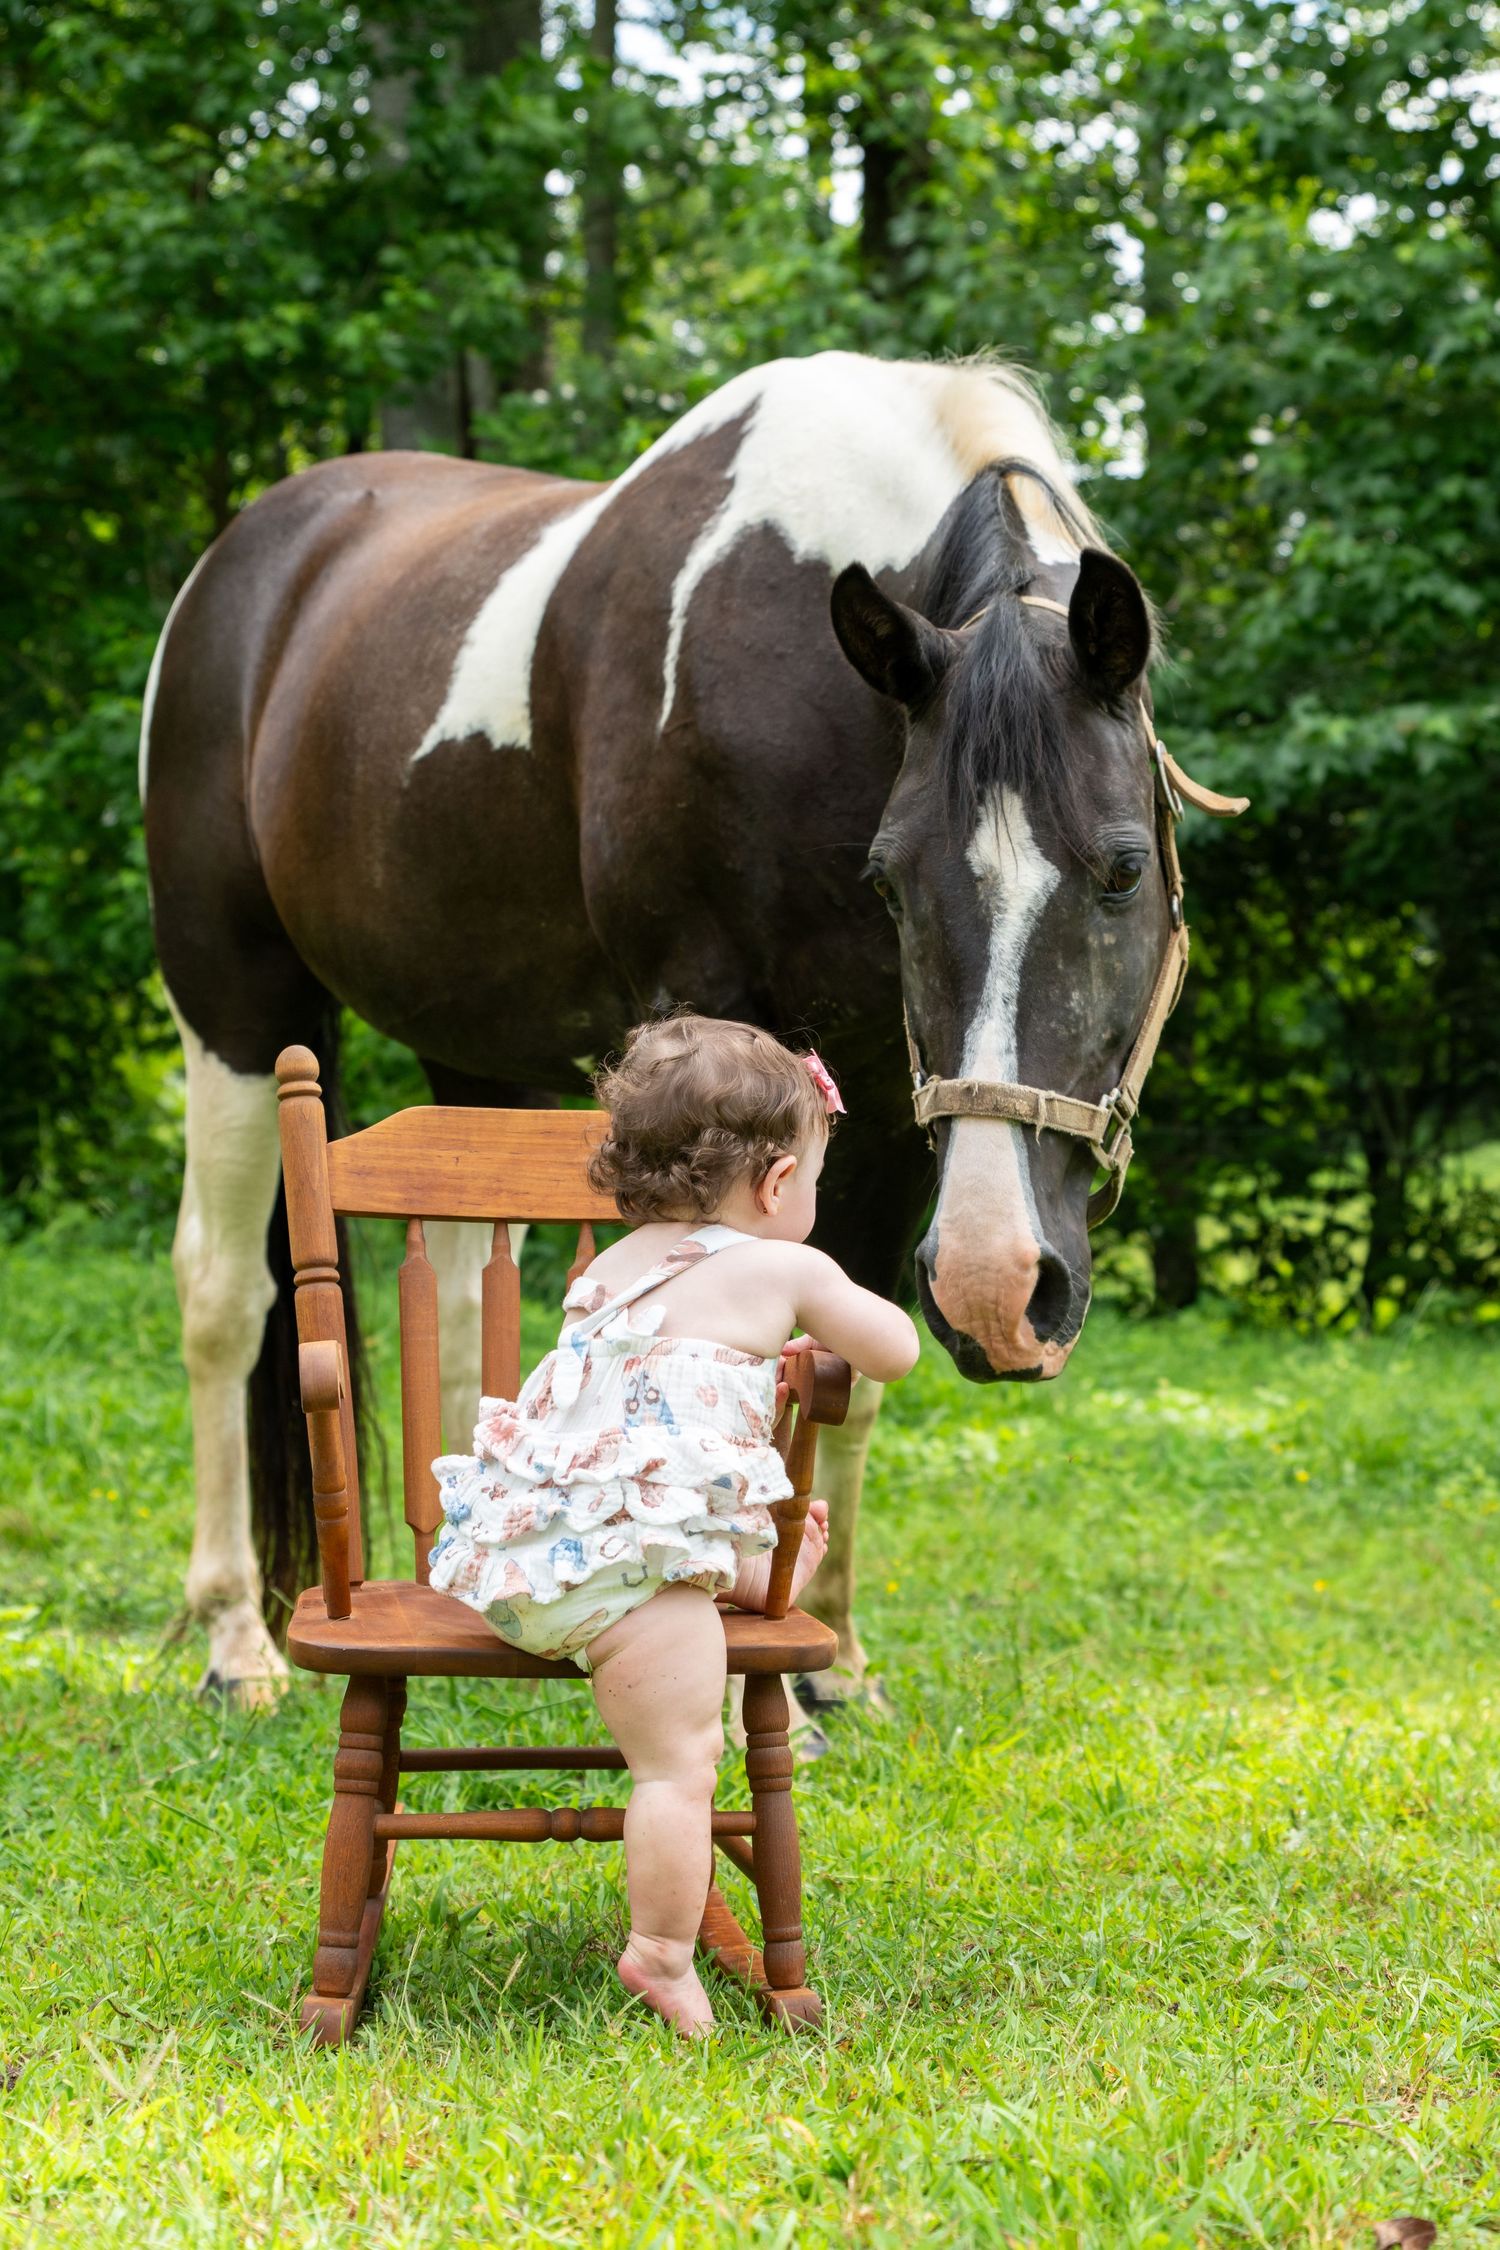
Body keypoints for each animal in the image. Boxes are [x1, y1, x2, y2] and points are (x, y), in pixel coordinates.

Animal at [141, 350, 1197, 1703]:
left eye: (1123, 871)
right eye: (894, 880)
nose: (1003, 1285)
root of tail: (247, 557)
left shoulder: (891, 1100)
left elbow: (845, 1356)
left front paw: (829, 1657)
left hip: (467, 1059)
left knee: (459, 1296)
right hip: (231, 1007)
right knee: (224, 1295)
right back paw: (237, 1638)